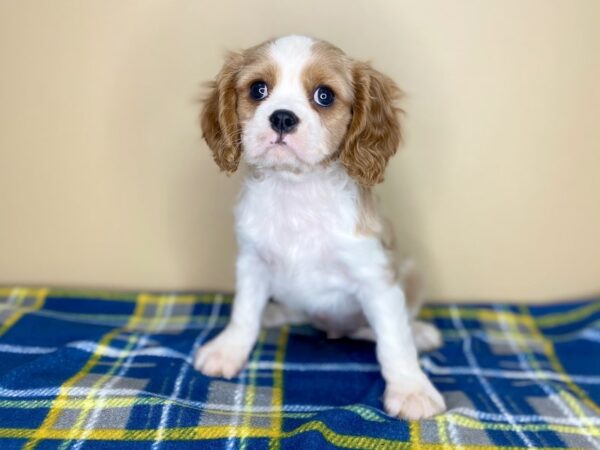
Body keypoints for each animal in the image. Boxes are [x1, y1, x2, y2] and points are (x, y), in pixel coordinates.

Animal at [196, 34, 446, 418]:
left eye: (324, 95)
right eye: (258, 89)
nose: (282, 118)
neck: (297, 189)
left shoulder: (376, 278)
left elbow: (393, 339)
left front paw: (410, 388)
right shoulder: (252, 262)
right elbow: (243, 312)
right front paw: (229, 349)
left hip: (412, 273)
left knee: (379, 329)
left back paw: (419, 333)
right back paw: (275, 313)